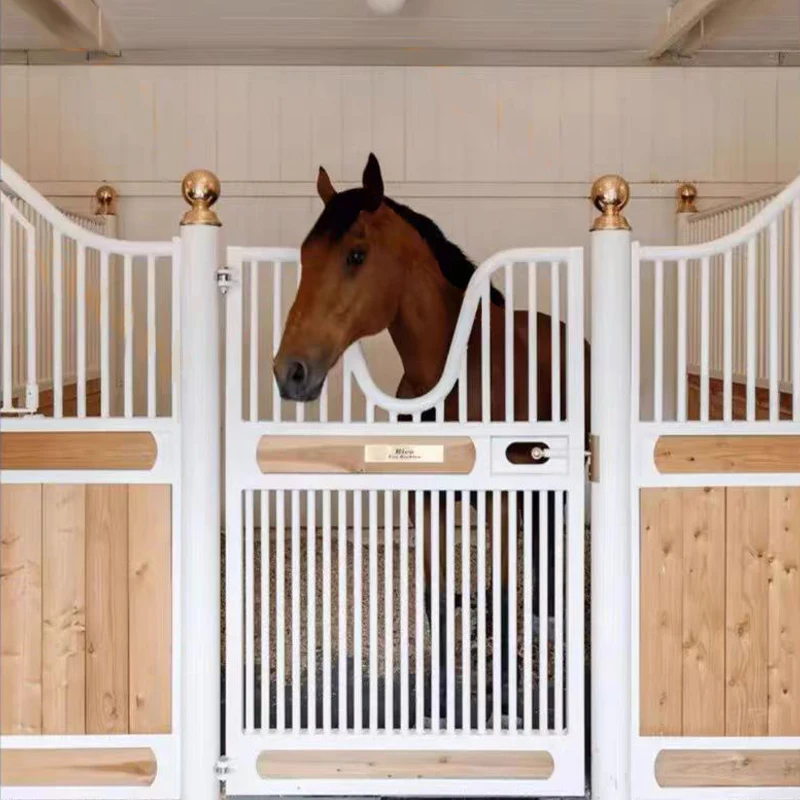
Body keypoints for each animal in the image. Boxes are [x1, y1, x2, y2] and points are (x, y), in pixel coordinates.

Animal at [274, 153, 590, 725]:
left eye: (356, 254)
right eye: (307, 257)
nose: (291, 371)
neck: (452, 376)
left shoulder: (500, 501)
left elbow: (502, 596)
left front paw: (504, 700)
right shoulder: (427, 500)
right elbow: (434, 601)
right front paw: (440, 701)